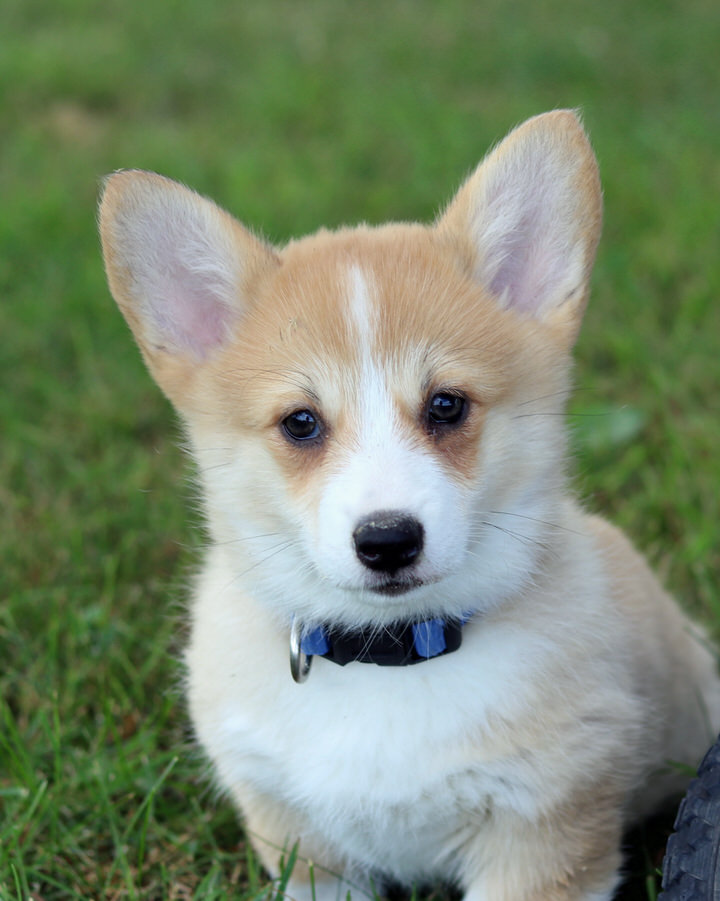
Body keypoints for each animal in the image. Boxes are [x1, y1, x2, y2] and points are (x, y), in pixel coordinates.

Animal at [97, 112, 720, 900]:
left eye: (446, 405)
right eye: (301, 423)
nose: (388, 540)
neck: (388, 656)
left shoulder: (542, 837)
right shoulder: (305, 851)